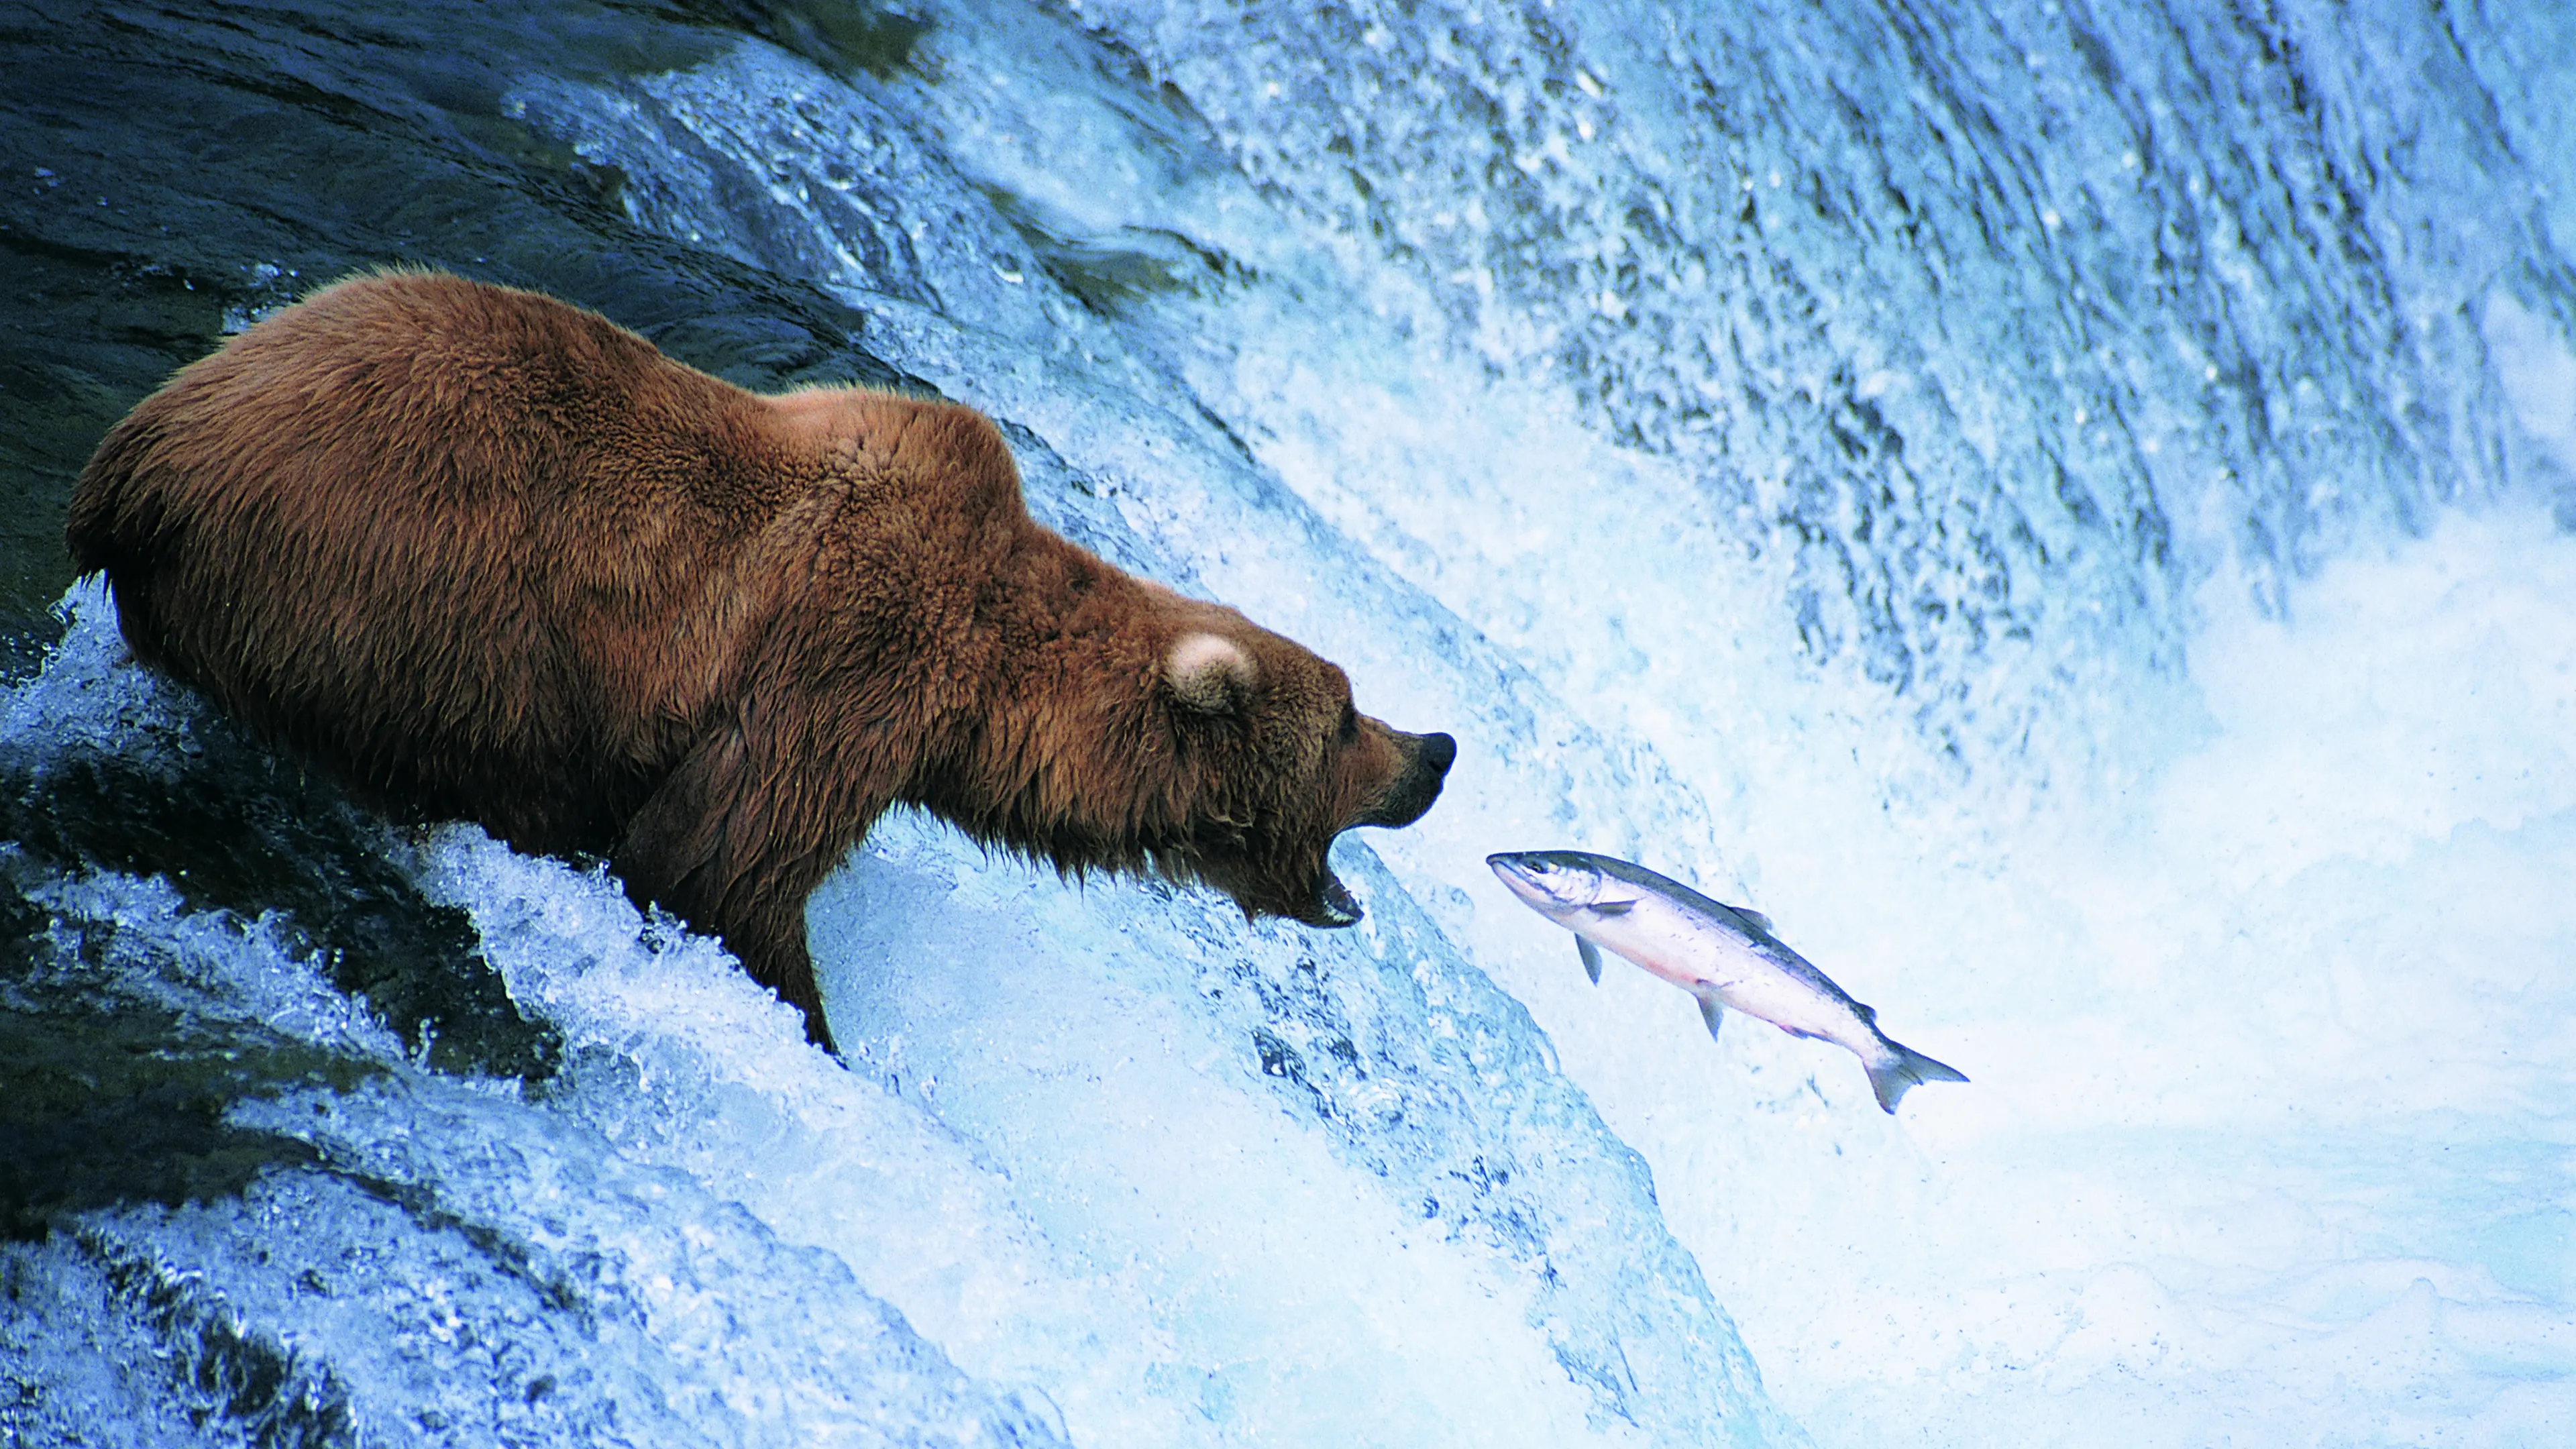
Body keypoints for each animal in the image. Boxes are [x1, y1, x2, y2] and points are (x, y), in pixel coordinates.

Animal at [66, 269, 1456, 1052]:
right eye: (1345, 716)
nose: (1437, 749)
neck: (984, 689)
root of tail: (141, 457)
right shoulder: (851, 660)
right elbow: (723, 863)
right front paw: (814, 1028)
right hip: (410, 591)